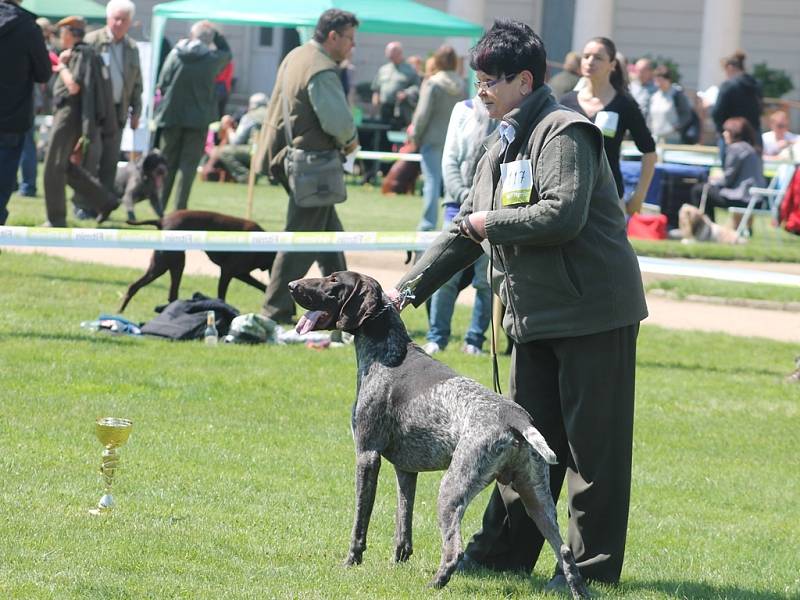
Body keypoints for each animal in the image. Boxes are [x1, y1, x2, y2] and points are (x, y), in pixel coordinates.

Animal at [118, 210, 276, 312]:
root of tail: (161, 221)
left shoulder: (242, 274)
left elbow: (263, 287)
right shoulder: (228, 272)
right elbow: (222, 296)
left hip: (165, 265)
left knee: (144, 288)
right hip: (170, 263)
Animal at [288, 274, 588, 600]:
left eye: (333, 282)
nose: (292, 286)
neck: (387, 350)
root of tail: (515, 417)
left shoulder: (367, 456)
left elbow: (360, 521)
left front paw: (351, 561)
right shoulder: (405, 470)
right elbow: (403, 522)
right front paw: (397, 562)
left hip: (452, 489)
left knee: (454, 549)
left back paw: (434, 584)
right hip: (535, 495)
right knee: (565, 552)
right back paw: (578, 591)